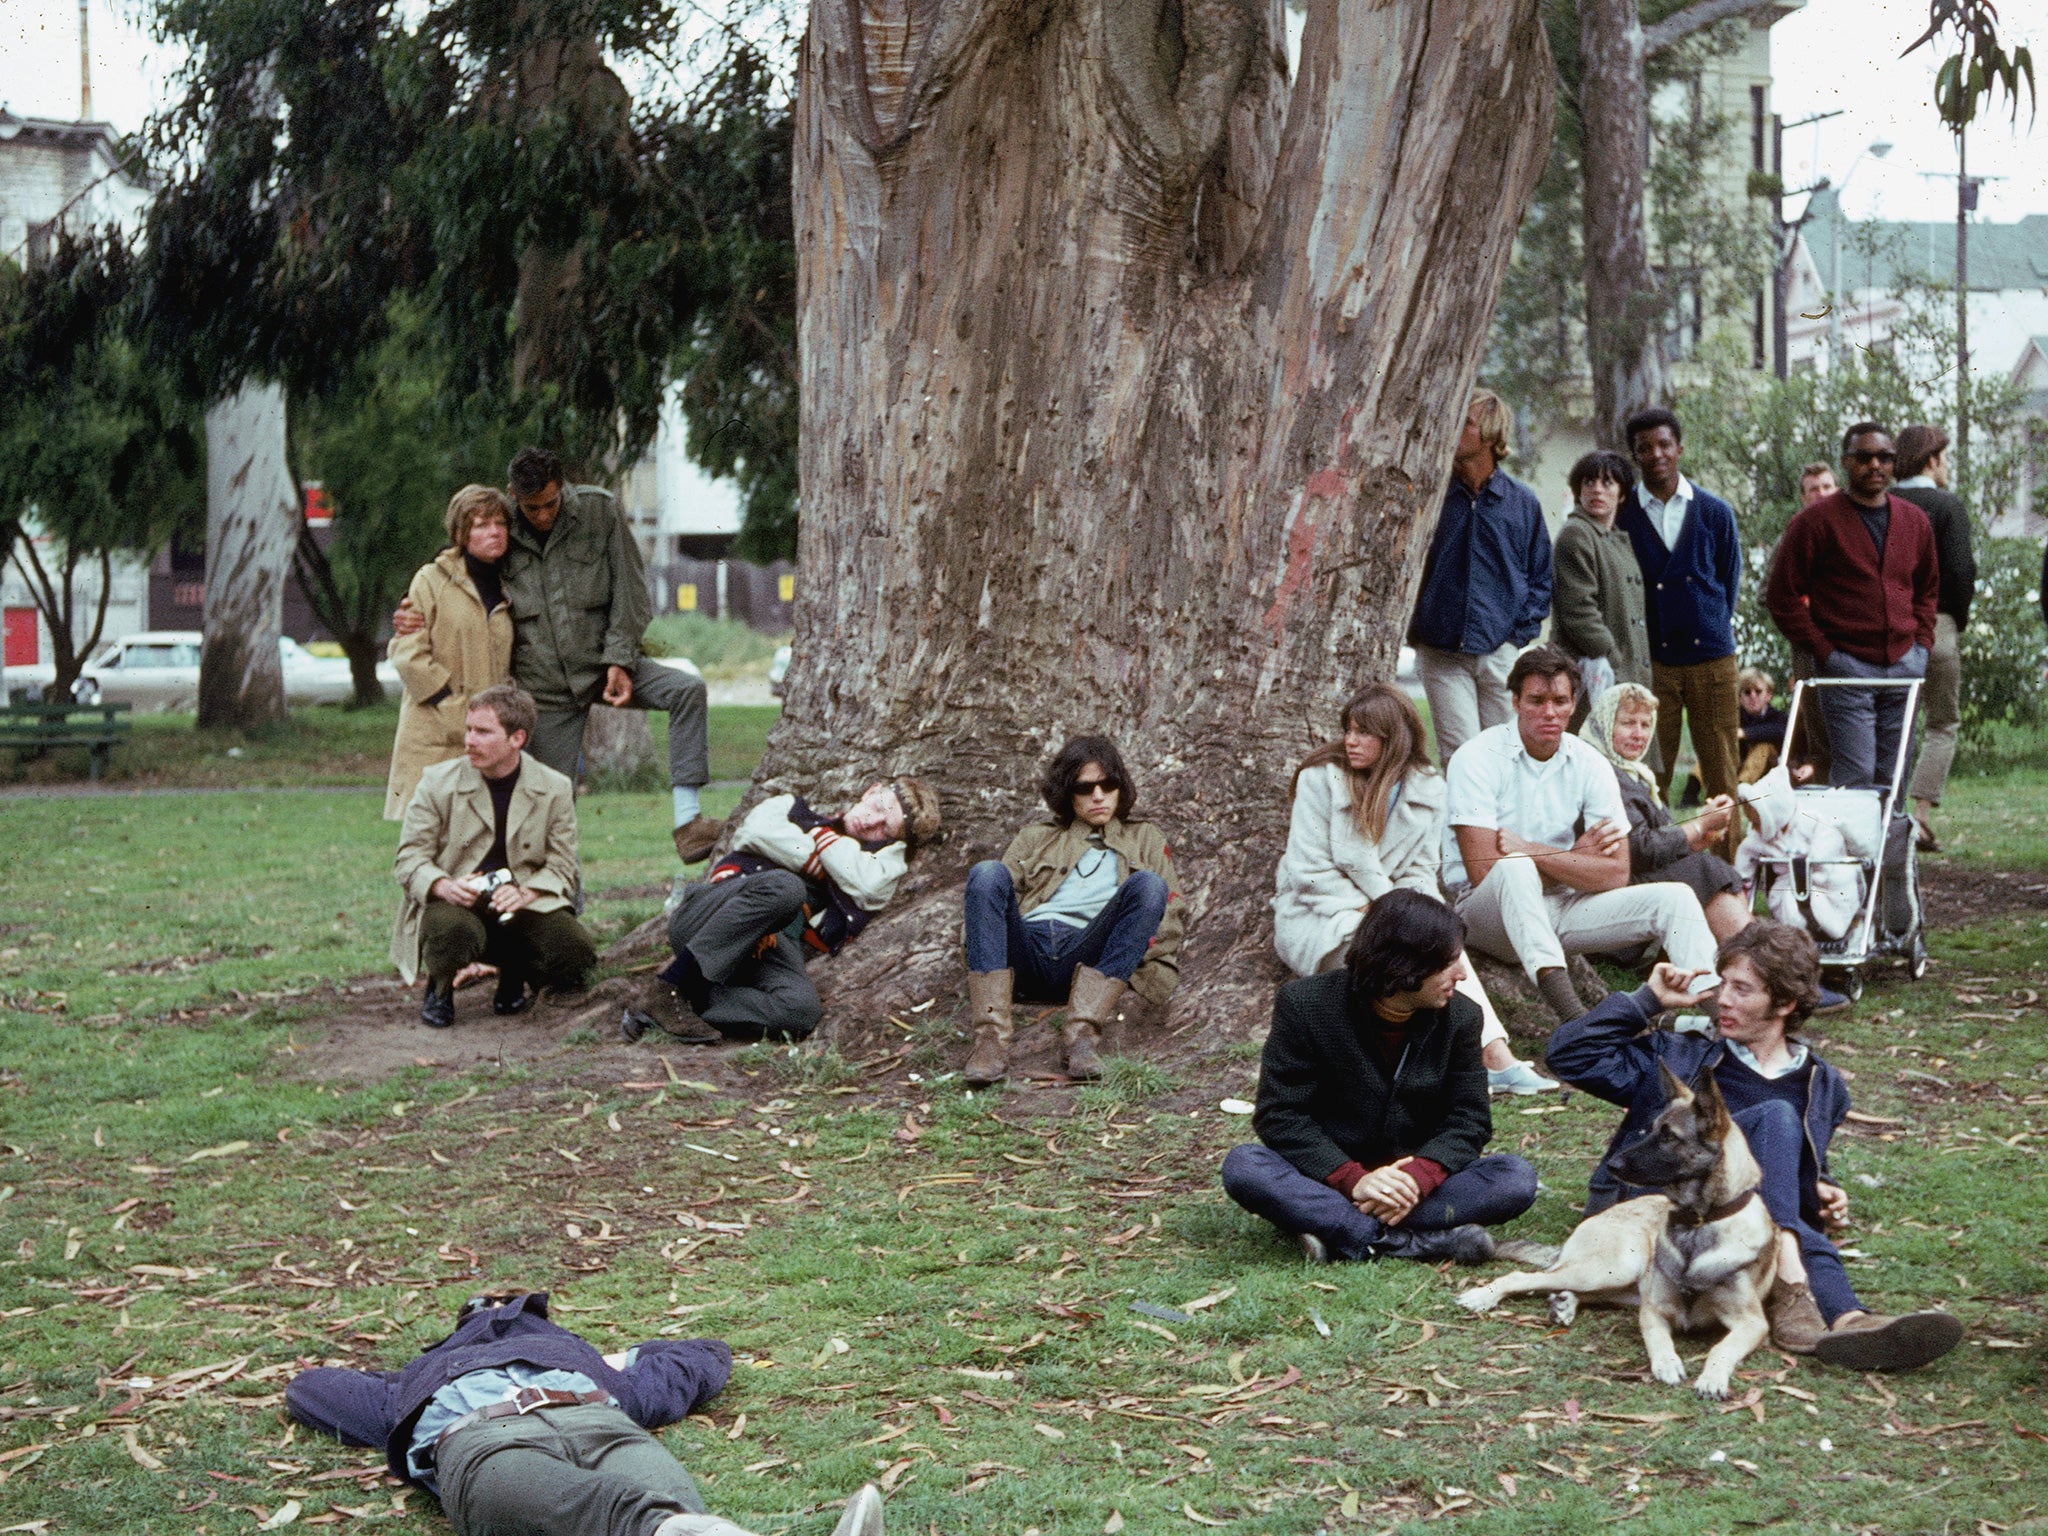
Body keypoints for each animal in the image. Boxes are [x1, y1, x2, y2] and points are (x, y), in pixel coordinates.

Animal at [1458, 1064, 1777, 1400]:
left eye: (1669, 1136)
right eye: (1652, 1129)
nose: (1612, 1165)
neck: (1700, 1222)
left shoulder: (1753, 1323)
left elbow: (1722, 1347)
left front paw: (1713, 1378)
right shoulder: (1653, 1310)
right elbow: (1657, 1339)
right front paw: (1667, 1364)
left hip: (1621, 1283)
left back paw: (1564, 1304)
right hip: (1615, 1267)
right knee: (1524, 1277)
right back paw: (1483, 1296)